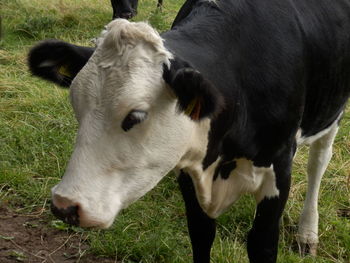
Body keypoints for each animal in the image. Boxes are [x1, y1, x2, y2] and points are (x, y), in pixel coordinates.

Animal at [28, 0, 350, 262]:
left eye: (136, 115)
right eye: (76, 104)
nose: (65, 205)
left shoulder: (279, 166)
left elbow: (262, 245)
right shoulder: (189, 165)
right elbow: (201, 234)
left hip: (333, 112)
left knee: (318, 162)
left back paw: (307, 233)